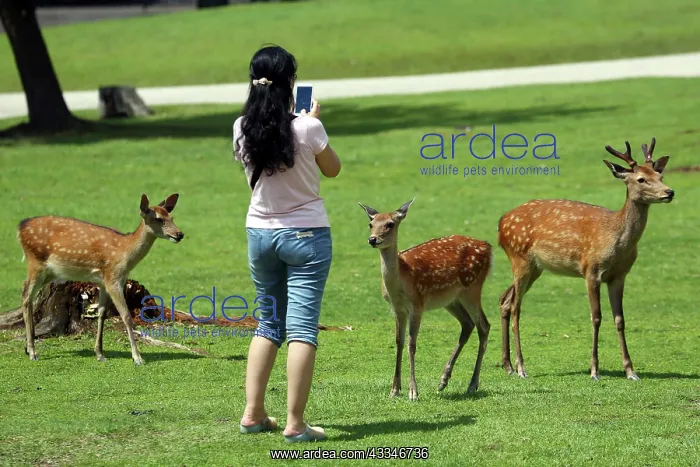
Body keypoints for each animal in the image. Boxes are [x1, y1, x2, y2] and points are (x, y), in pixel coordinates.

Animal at [17, 193, 184, 366]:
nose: (179, 234)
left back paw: (28, 348)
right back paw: (33, 351)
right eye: (159, 219)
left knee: (27, 293)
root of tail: (20, 227)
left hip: (50, 272)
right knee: (26, 295)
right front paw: (137, 357)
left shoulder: (105, 281)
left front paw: (100, 353)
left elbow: (102, 314)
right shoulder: (113, 278)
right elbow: (126, 316)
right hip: (35, 261)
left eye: (171, 217)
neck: (125, 254)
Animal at [358, 199, 492, 401]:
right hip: (451, 300)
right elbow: (399, 342)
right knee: (468, 324)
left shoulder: (417, 304)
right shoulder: (397, 308)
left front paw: (413, 392)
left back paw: (472, 384)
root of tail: (488, 247)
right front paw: (394, 390)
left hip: (472, 288)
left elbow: (412, 344)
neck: (401, 281)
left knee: (484, 325)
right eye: (370, 224)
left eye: (390, 224)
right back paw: (443, 380)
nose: (373, 239)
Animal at [498, 137, 674, 381]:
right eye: (641, 179)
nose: (669, 192)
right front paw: (594, 370)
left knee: (505, 300)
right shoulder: (591, 270)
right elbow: (596, 317)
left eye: (660, 175)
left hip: (534, 267)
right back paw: (522, 368)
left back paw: (508, 366)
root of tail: (500, 224)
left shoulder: (619, 275)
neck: (616, 240)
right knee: (515, 306)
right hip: (519, 258)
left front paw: (631, 371)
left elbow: (620, 319)